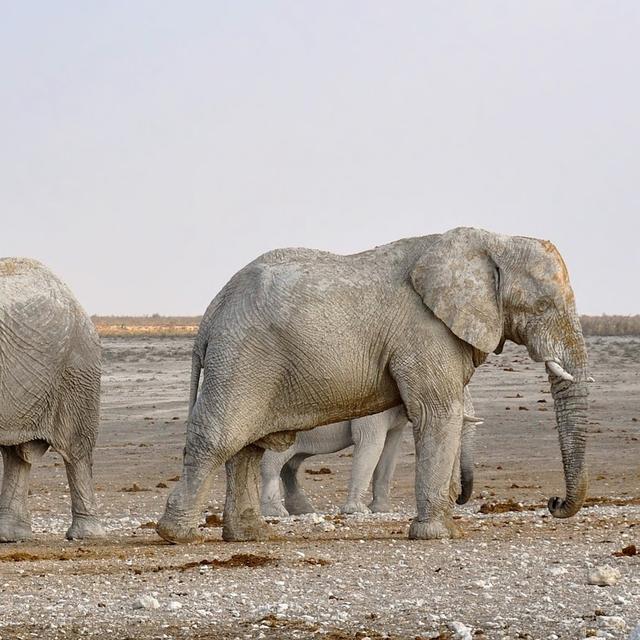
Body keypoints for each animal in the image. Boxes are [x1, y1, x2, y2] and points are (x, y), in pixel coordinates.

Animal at [260, 389, 481, 517]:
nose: (458, 498)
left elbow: (390, 450)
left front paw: (381, 510)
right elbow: (371, 443)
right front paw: (358, 510)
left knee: (290, 466)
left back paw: (302, 511)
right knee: (273, 463)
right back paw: (276, 513)